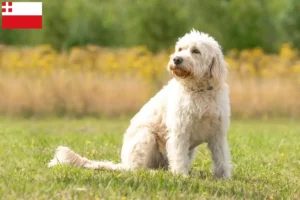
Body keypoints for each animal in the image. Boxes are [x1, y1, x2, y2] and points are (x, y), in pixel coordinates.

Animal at [49, 29, 232, 178]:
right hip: (146, 136)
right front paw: (181, 176)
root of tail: (123, 164)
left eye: (195, 51)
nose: (176, 59)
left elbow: (221, 158)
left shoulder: (218, 134)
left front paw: (224, 178)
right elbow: (179, 158)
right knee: (136, 169)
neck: (199, 92)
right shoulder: (179, 132)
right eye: (180, 49)